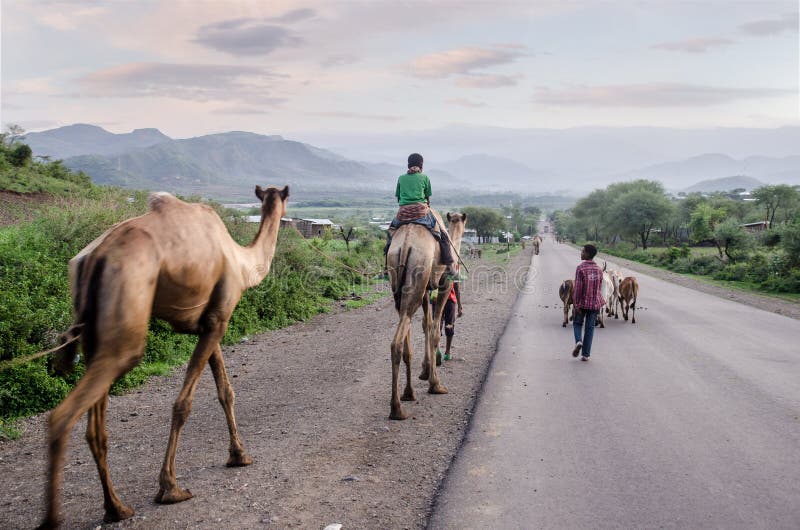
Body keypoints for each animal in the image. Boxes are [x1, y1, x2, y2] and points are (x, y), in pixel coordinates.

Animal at [37, 184, 290, 524]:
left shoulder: (209, 322)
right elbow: (184, 404)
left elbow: (226, 391)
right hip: (127, 316)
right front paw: (170, 488)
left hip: (95, 332)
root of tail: (95, 257)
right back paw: (54, 517)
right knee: (64, 415)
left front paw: (239, 455)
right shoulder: (219, 319)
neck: (243, 262)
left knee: (95, 428)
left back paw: (116, 508)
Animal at [384, 208, 466, 418]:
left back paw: (407, 394)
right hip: (419, 273)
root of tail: (405, 244)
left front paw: (425, 369)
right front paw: (434, 383)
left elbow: (426, 324)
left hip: (401, 281)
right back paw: (397, 409)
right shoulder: (444, 284)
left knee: (404, 325)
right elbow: (435, 329)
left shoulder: (426, 291)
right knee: (397, 341)